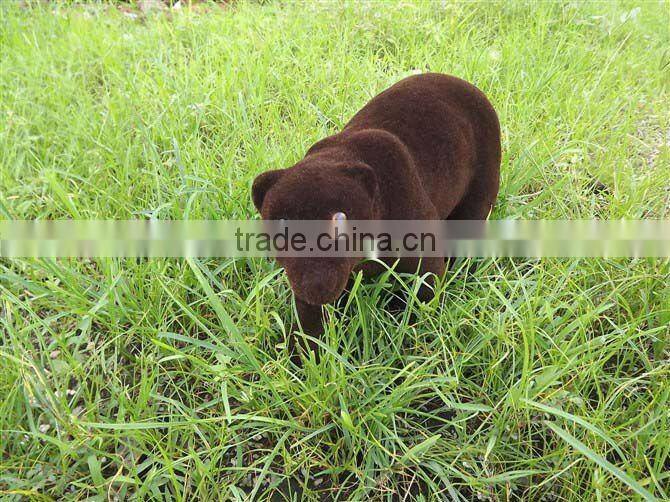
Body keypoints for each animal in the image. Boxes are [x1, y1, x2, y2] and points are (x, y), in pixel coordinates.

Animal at [252, 73, 501, 352]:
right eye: (282, 227)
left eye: (340, 220)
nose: (314, 286)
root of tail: (460, 81)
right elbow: (310, 322)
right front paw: (303, 354)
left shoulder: (425, 258)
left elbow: (424, 301)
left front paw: (414, 340)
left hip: (479, 196)